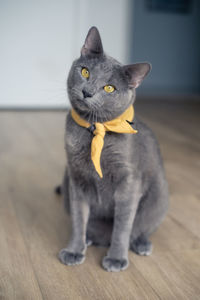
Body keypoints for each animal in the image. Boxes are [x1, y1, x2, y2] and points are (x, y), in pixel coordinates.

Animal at [57, 26, 168, 272]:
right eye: (85, 72)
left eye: (109, 88)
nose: (87, 92)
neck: (95, 128)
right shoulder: (77, 180)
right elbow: (78, 220)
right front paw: (74, 250)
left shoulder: (128, 183)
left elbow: (122, 227)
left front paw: (116, 258)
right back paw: (89, 239)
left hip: (159, 195)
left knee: (140, 228)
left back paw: (141, 243)